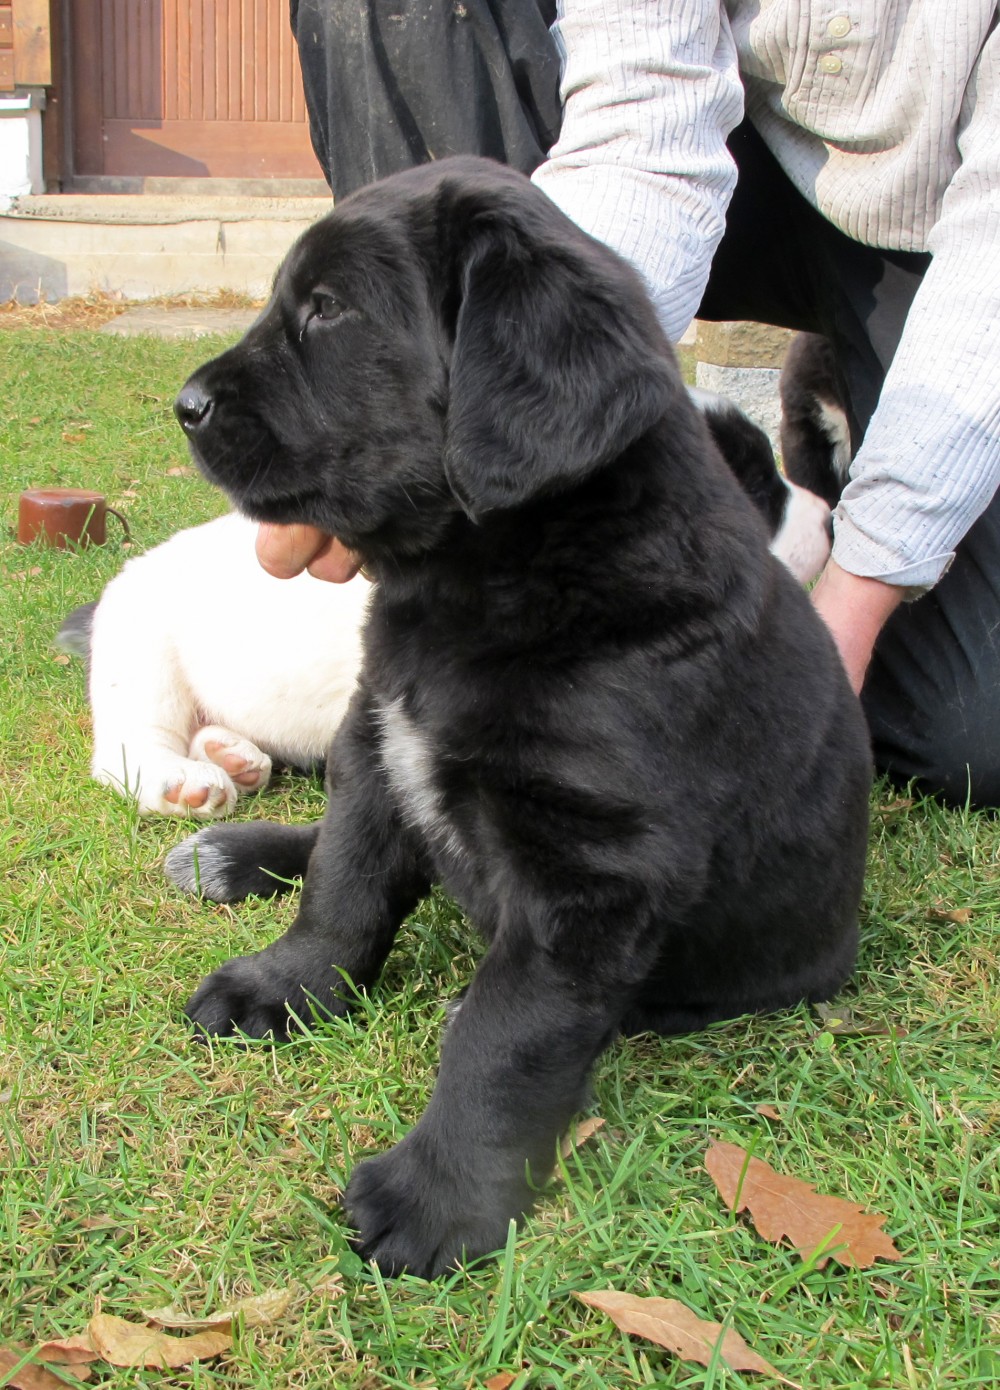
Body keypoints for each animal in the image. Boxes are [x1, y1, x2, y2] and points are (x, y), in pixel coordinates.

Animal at [56, 400, 829, 820]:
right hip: (145, 655)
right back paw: (187, 782)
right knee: (129, 750)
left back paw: (235, 756)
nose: (829, 517)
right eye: (758, 485)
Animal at [163, 156, 871, 1278]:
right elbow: (343, 884)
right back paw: (232, 852)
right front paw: (285, 984)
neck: (491, 576)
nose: (184, 406)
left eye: (329, 309)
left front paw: (436, 1195)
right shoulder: (378, 737)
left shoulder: (593, 872)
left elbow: (502, 1034)